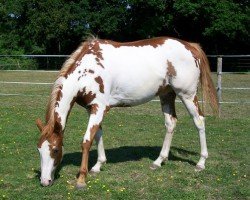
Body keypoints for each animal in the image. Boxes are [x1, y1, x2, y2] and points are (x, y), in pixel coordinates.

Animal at [35, 36, 219, 188]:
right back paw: (158, 161)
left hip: (187, 95)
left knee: (199, 121)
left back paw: (201, 163)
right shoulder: (92, 109)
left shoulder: (98, 108)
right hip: (167, 94)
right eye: (39, 150)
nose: (45, 181)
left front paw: (81, 178)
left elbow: (87, 141)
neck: (86, 69)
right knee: (170, 123)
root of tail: (190, 46)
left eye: (55, 150)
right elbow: (98, 135)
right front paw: (98, 165)